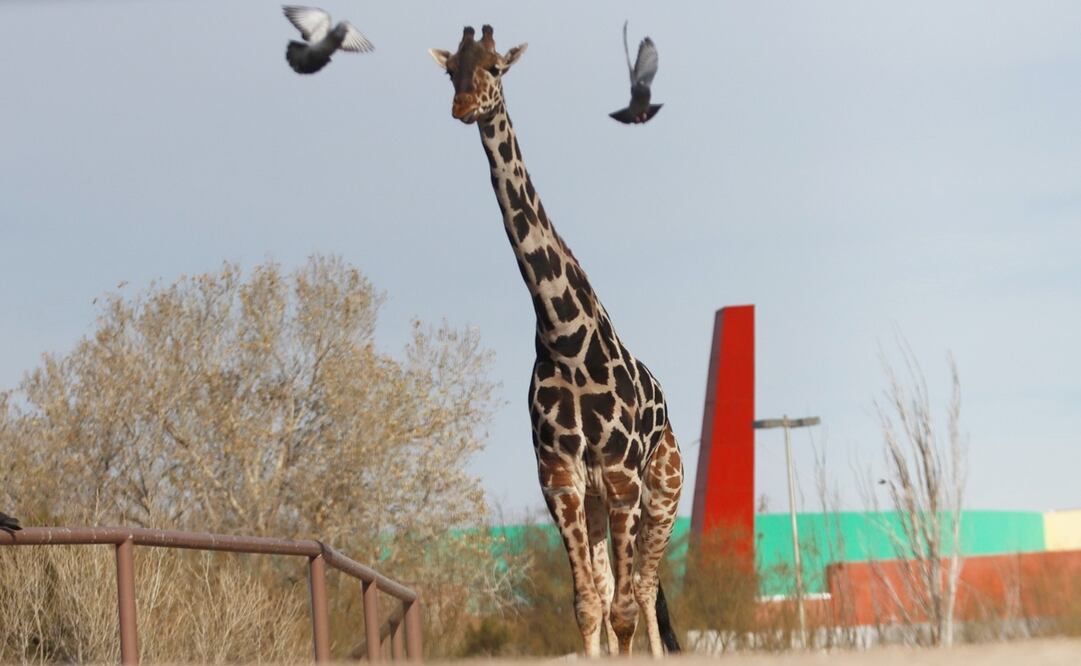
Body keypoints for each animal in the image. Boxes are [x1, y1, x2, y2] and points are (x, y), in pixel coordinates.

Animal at [429, 26, 684, 657]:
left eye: (495, 68)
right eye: (451, 70)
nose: (463, 106)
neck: (566, 338)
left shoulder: (620, 477)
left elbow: (623, 611)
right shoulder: (561, 480)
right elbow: (588, 604)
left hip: (662, 491)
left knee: (645, 588)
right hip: (597, 503)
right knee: (619, 586)